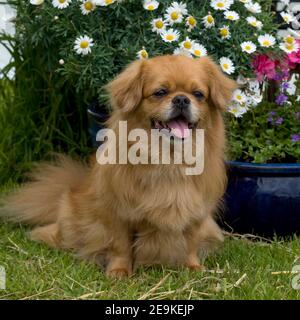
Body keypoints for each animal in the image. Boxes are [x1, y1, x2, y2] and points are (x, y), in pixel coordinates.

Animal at [2, 55, 237, 278]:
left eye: (198, 94)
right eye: (160, 92)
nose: (181, 99)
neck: (168, 160)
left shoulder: (196, 213)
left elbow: (190, 243)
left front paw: (192, 267)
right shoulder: (118, 212)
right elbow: (121, 245)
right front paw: (119, 271)